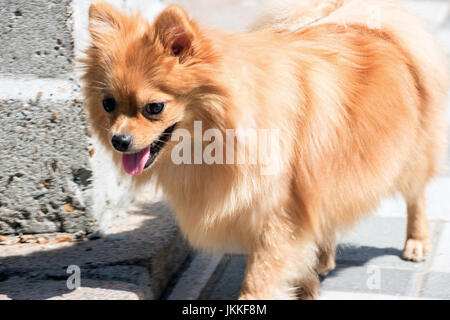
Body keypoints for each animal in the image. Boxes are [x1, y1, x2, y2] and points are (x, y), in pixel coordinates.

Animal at [82, 0, 448, 300]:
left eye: (154, 107)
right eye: (108, 104)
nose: (118, 140)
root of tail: (372, 27)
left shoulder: (280, 212)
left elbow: (260, 275)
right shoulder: (290, 206)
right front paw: (307, 286)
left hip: (407, 157)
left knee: (416, 196)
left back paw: (416, 241)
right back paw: (324, 257)